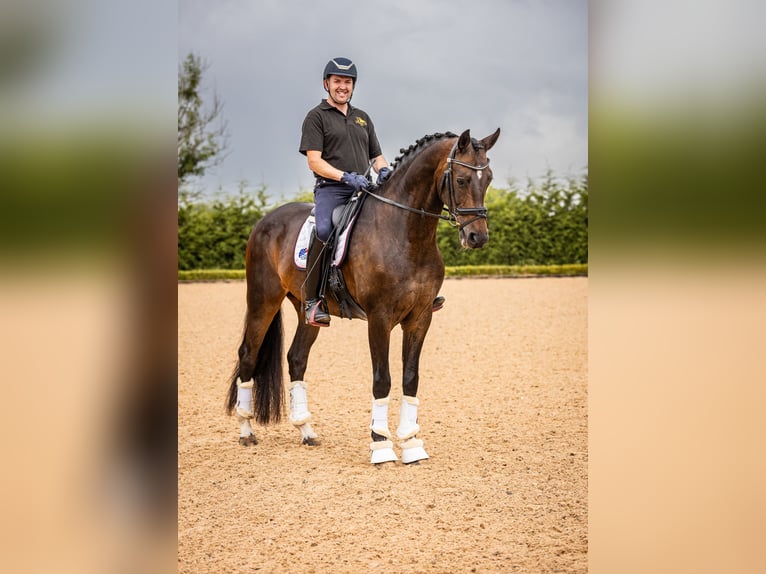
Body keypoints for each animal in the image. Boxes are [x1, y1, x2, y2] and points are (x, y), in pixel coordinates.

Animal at [225, 128, 500, 466]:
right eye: (461, 180)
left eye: (488, 178)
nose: (478, 237)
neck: (406, 234)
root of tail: (265, 221)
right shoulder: (379, 318)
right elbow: (382, 379)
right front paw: (381, 446)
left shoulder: (420, 317)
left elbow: (411, 378)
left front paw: (412, 444)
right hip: (263, 299)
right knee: (248, 354)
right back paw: (246, 430)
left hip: (307, 311)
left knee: (297, 359)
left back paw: (306, 431)